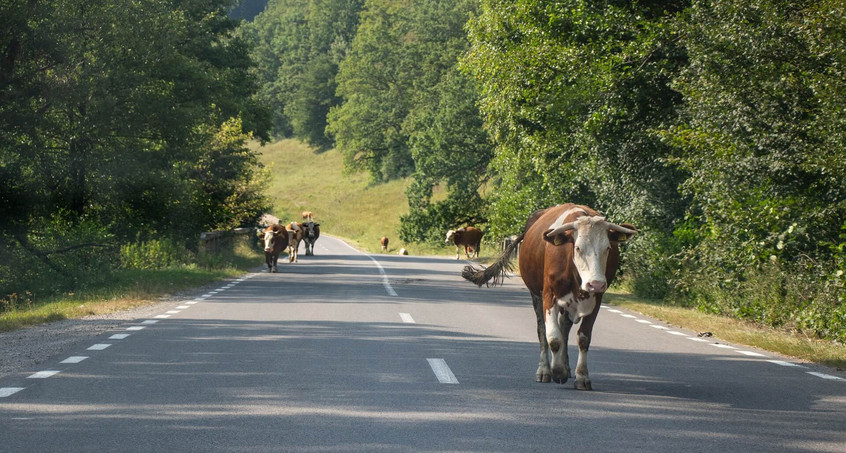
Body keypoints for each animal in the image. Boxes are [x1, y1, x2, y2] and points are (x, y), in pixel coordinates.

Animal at [464, 204, 636, 388]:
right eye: (578, 248)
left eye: (608, 248)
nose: (595, 283)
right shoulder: (548, 295)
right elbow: (553, 337)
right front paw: (557, 371)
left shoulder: (596, 300)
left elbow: (583, 338)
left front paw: (582, 376)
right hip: (536, 295)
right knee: (542, 331)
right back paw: (545, 369)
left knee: (564, 326)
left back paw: (566, 366)